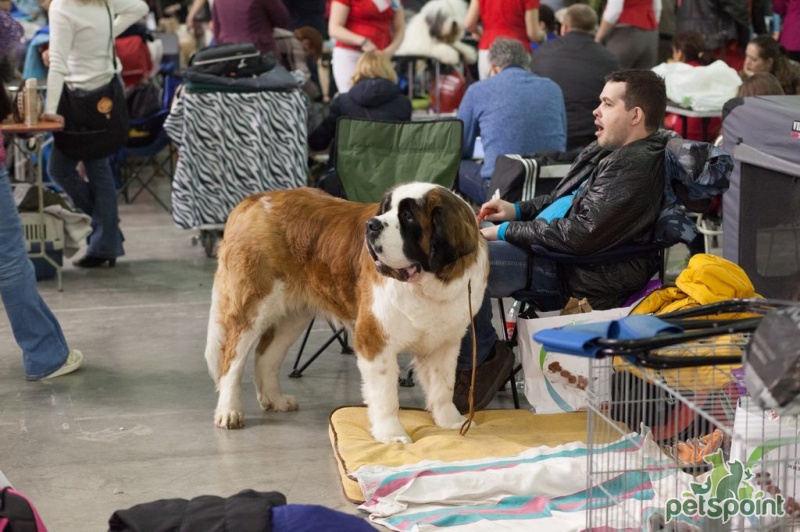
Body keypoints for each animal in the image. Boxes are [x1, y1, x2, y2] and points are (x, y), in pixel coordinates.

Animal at [205, 184, 488, 444]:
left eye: (408, 216)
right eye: (386, 210)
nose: (371, 224)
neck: (427, 285)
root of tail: (254, 199)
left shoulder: (445, 342)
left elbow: (443, 386)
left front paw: (451, 422)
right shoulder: (375, 340)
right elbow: (386, 395)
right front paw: (391, 435)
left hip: (293, 317)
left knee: (266, 355)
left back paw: (275, 399)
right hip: (252, 307)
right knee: (232, 361)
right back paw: (229, 412)